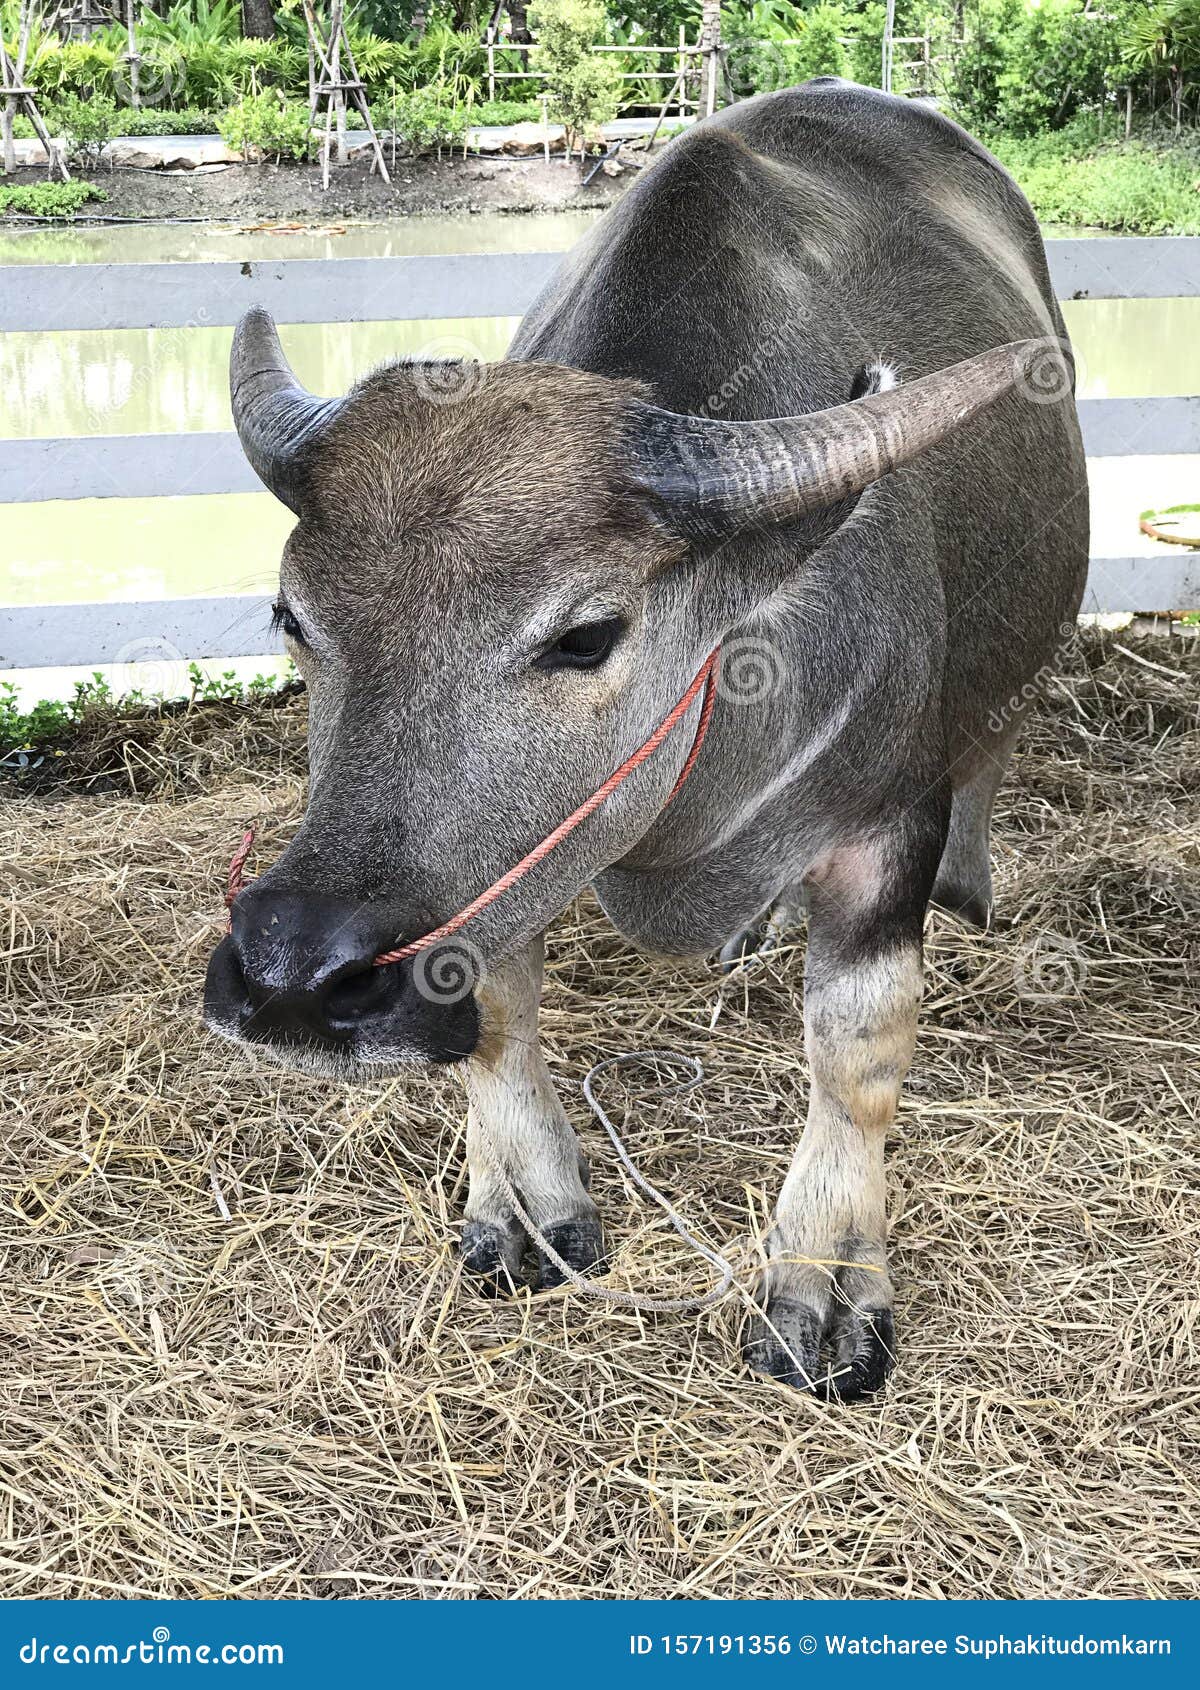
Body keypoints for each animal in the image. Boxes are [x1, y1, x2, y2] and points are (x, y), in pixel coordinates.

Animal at [204, 82, 1088, 1399]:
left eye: (585, 634)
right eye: (292, 617)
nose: (291, 972)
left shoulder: (885, 822)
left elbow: (859, 1048)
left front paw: (825, 1286)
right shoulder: (498, 873)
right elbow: (500, 1007)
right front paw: (526, 1205)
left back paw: (973, 885)